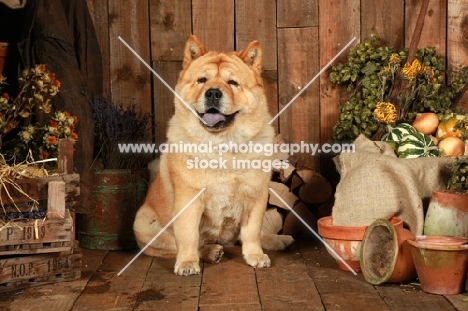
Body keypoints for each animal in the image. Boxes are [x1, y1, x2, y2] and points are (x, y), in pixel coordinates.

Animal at [133, 35, 292, 276]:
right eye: (202, 80)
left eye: (233, 83)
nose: (213, 92)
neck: (222, 146)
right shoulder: (189, 199)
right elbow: (188, 235)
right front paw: (187, 264)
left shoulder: (256, 196)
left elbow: (252, 232)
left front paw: (255, 256)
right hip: (143, 224)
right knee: (182, 245)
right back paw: (210, 252)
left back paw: (279, 240)